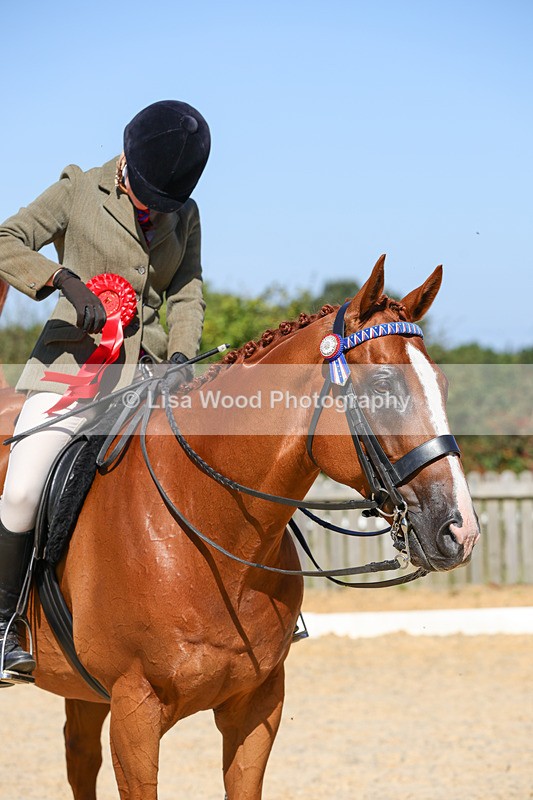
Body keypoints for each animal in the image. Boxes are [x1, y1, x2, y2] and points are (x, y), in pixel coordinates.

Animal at [0, 256, 480, 799]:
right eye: (382, 385)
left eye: (442, 385)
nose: (459, 530)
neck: (210, 533)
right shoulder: (133, 710)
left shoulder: (257, 706)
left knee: (79, 756)